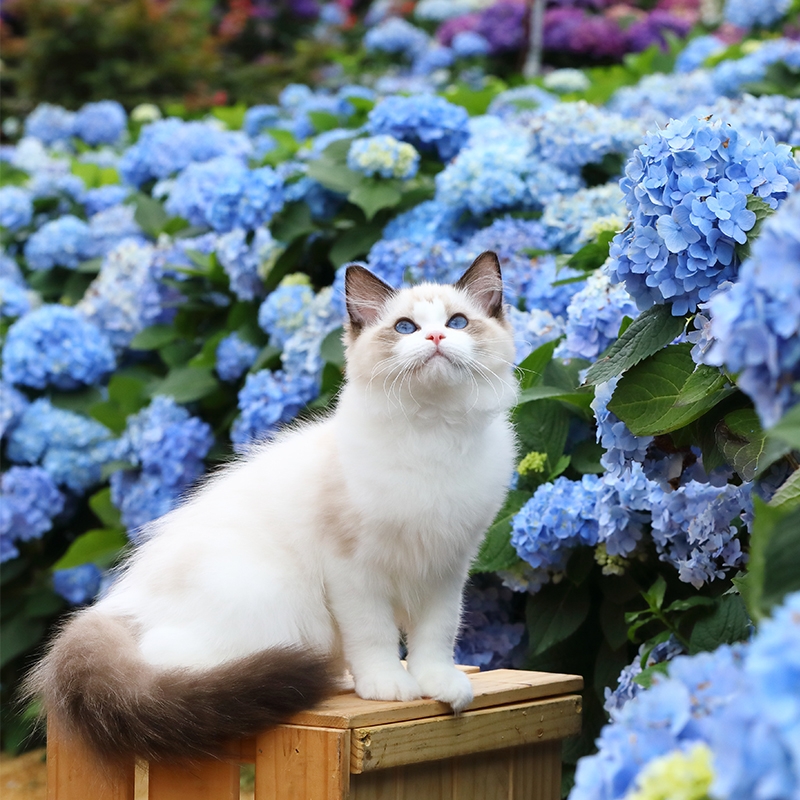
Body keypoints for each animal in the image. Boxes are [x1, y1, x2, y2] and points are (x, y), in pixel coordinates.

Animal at [28, 252, 520, 764]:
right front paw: (388, 686)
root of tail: (118, 605)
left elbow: (435, 637)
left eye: (457, 322)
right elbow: (376, 636)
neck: (432, 436)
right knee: (166, 664)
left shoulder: (447, 566)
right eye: (406, 327)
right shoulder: (354, 571)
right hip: (272, 599)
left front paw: (439, 686)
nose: (437, 338)